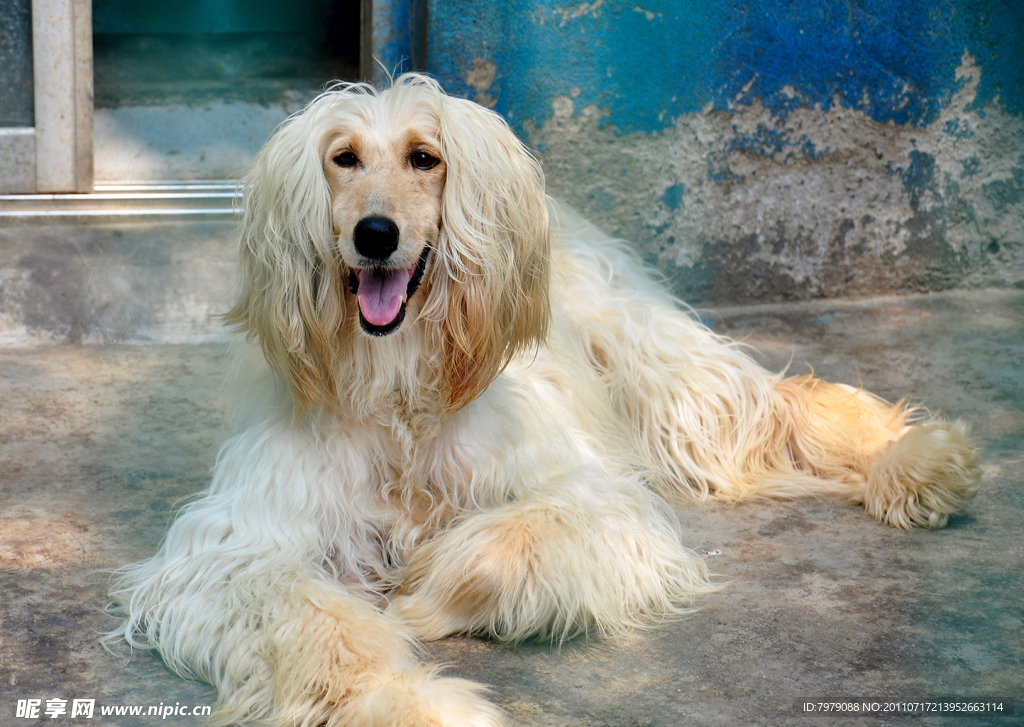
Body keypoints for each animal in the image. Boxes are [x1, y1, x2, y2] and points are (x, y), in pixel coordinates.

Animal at [108, 74, 978, 727]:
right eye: (342, 159)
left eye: (424, 158)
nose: (375, 235)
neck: (399, 385)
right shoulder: (243, 544)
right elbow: (315, 625)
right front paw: (410, 702)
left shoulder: (585, 493)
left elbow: (515, 538)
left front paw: (424, 584)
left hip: (650, 362)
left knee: (760, 404)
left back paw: (916, 460)